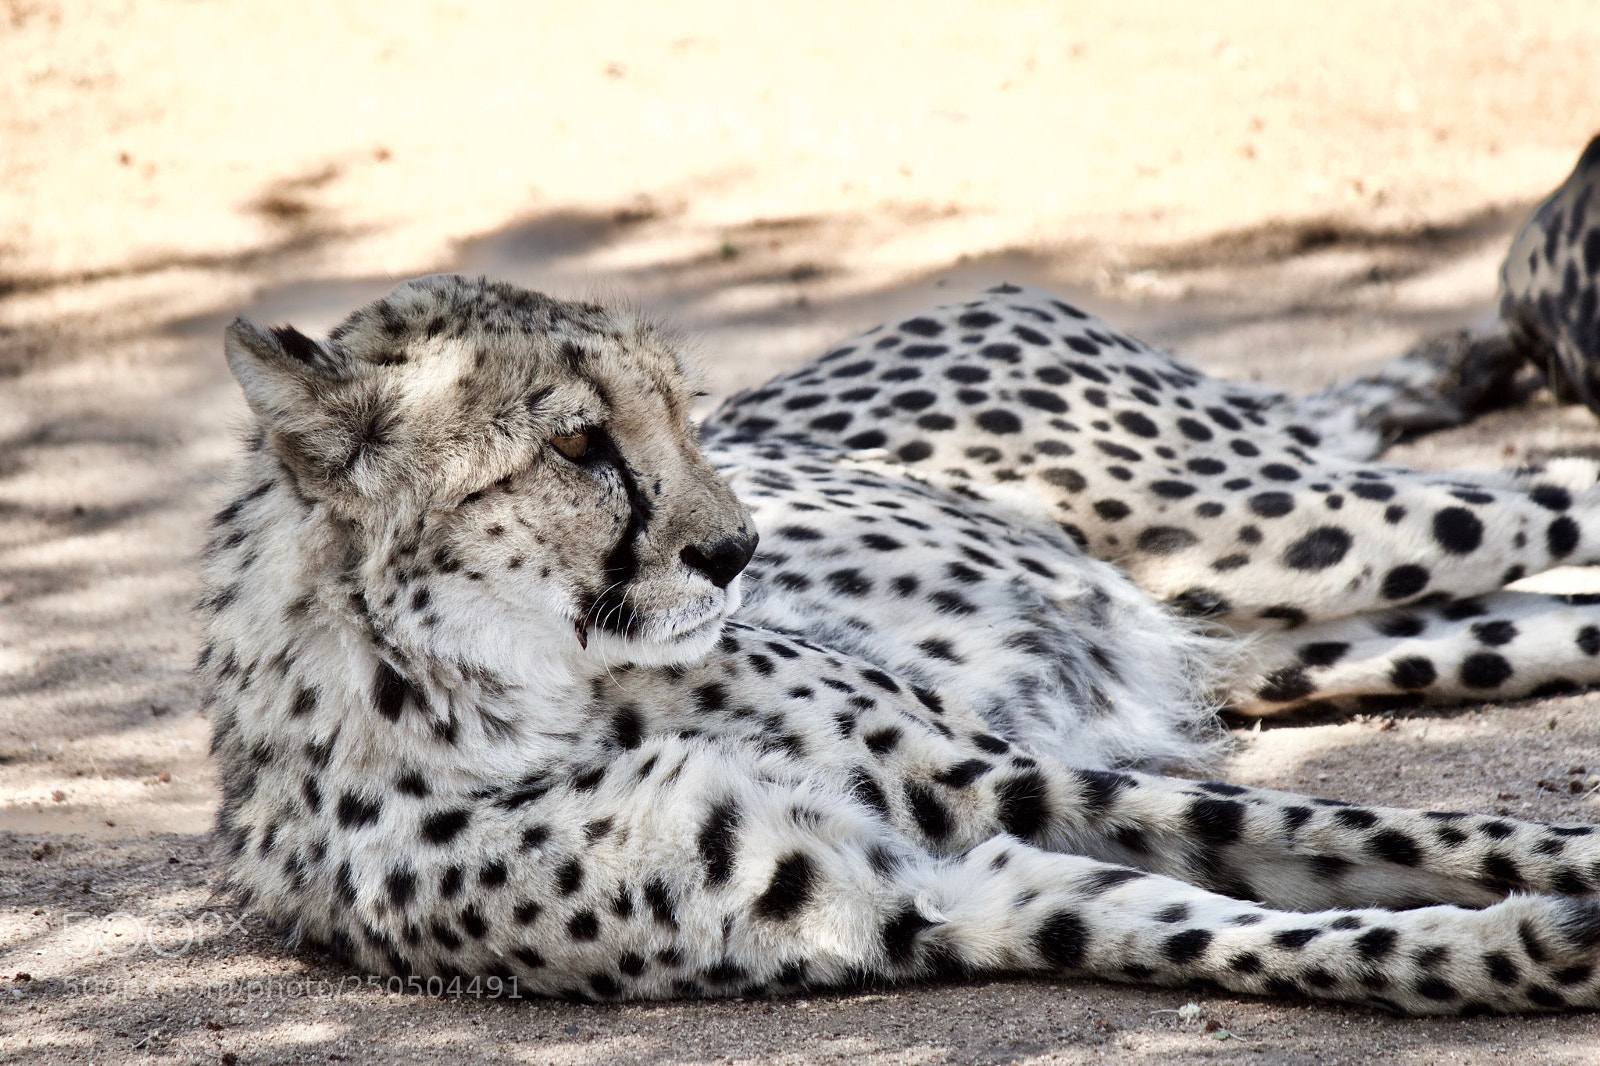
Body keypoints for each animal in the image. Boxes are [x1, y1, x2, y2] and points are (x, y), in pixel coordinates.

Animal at [203, 141, 1600, 1017]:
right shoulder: (925, 893)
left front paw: (1556, 873)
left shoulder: (995, 772)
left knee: (1542, 490)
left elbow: (1361, 827)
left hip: (1287, 524)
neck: (512, 688)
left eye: (679, 411)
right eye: (577, 444)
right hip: (1296, 627)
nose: (740, 549)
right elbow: (1213, 922)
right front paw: (1508, 950)